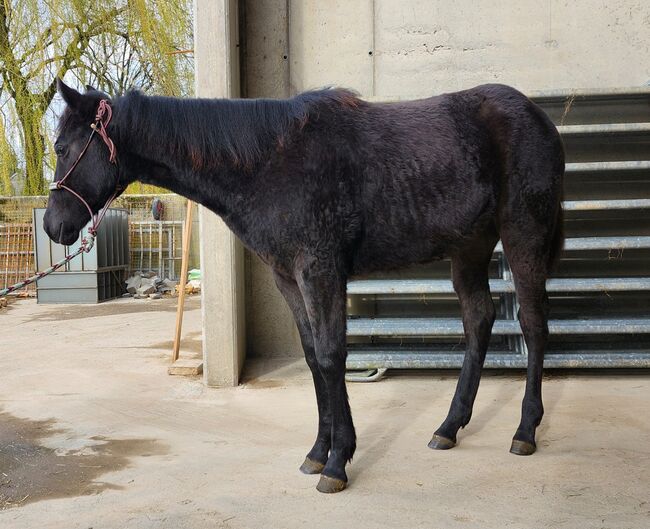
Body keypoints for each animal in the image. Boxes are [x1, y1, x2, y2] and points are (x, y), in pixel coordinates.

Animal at [45, 79, 564, 493]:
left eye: (63, 148)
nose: (53, 226)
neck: (267, 163)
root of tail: (539, 117)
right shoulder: (288, 279)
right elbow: (314, 357)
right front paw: (318, 453)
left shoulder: (320, 271)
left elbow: (333, 356)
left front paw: (338, 463)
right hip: (470, 249)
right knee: (479, 321)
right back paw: (449, 428)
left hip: (523, 234)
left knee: (534, 326)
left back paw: (524, 432)